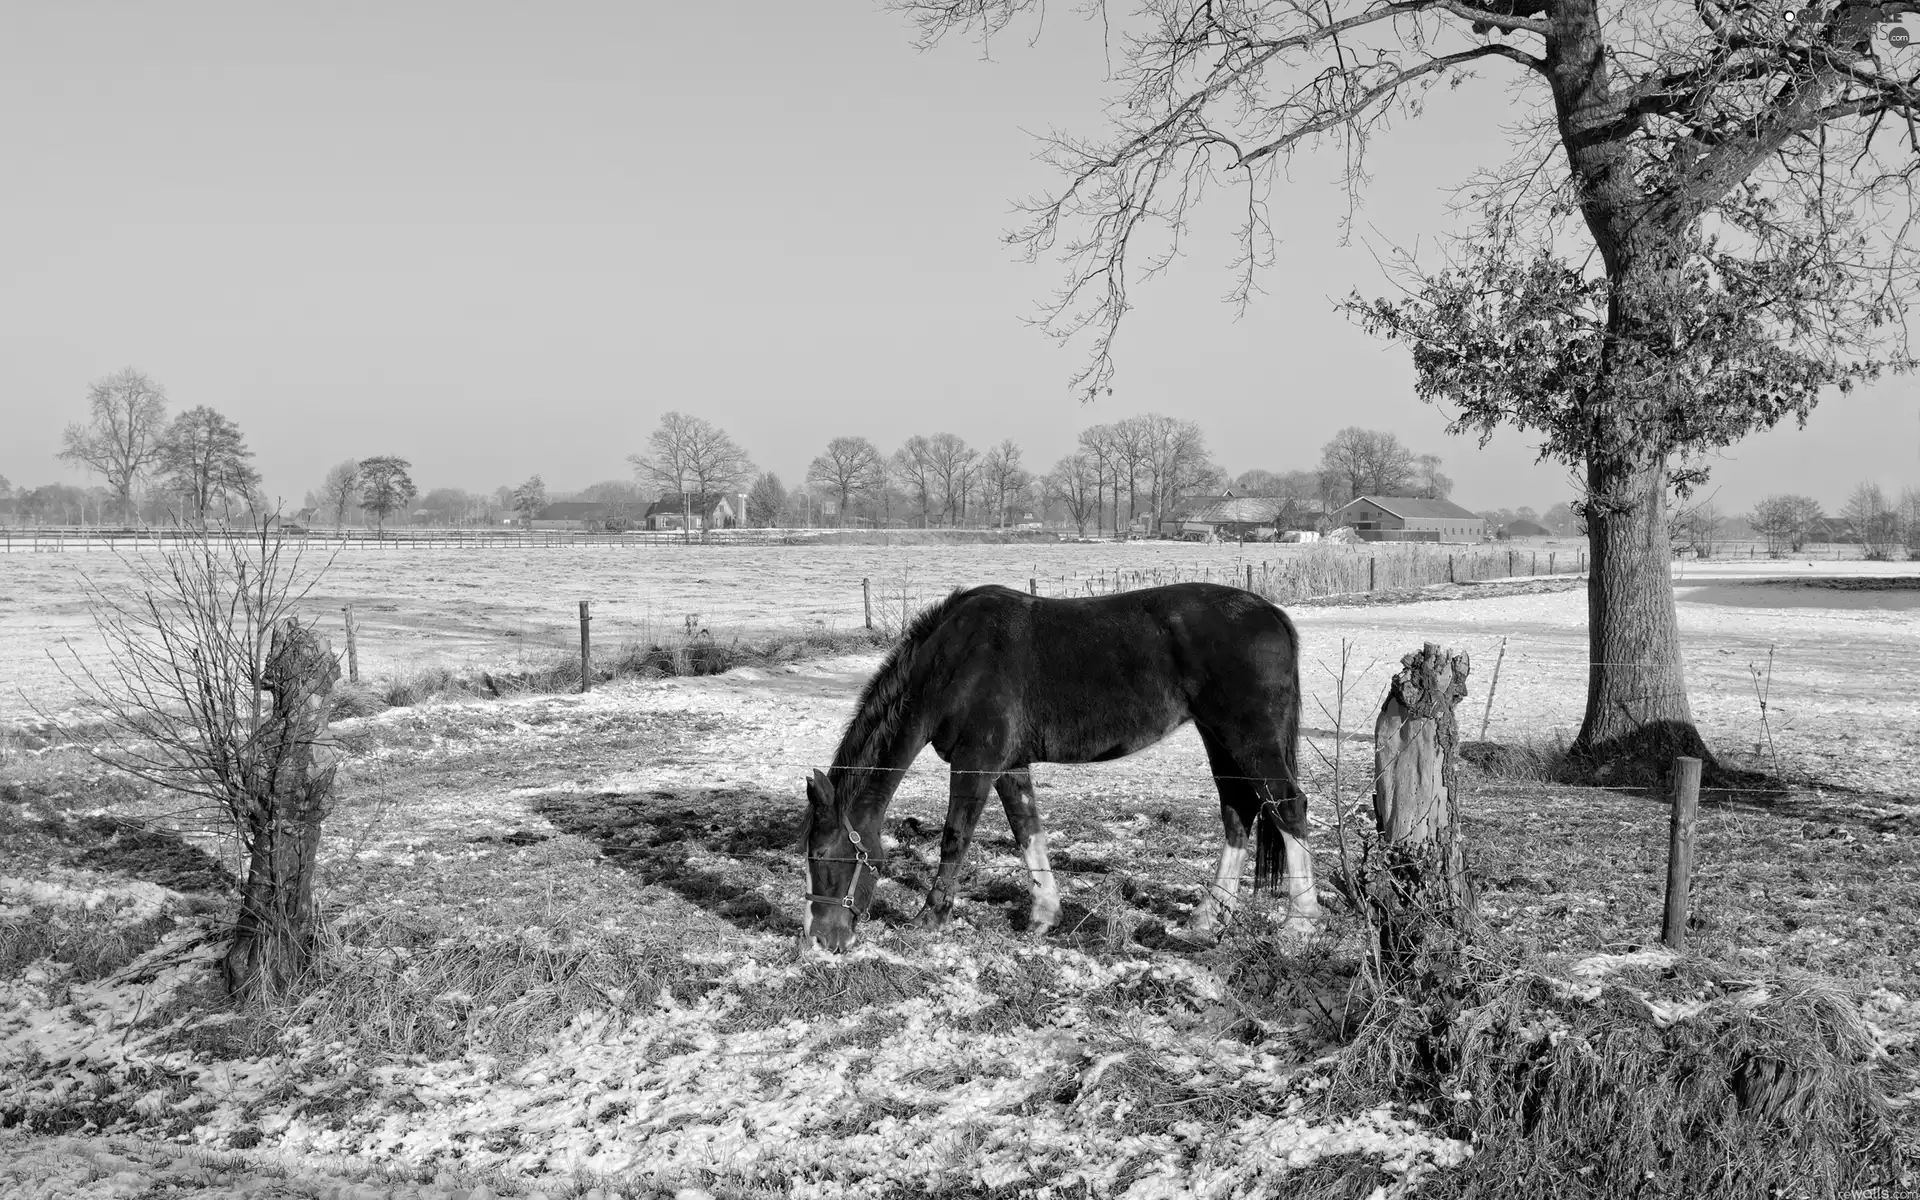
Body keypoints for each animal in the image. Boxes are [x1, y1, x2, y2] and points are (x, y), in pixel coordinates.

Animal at [798, 583, 1320, 956]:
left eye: (822, 856)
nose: (820, 939)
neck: (955, 661)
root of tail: (1271, 613)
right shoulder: (1010, 766)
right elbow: (1027, 832)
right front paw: (1044, 915)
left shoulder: (976, 763)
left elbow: (955, 838)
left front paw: (931, 918)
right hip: (1219, 739)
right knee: (1239, 813)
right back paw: (1207, 917)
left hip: (1249, 741)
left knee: (1288, 807)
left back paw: (1300, 924)